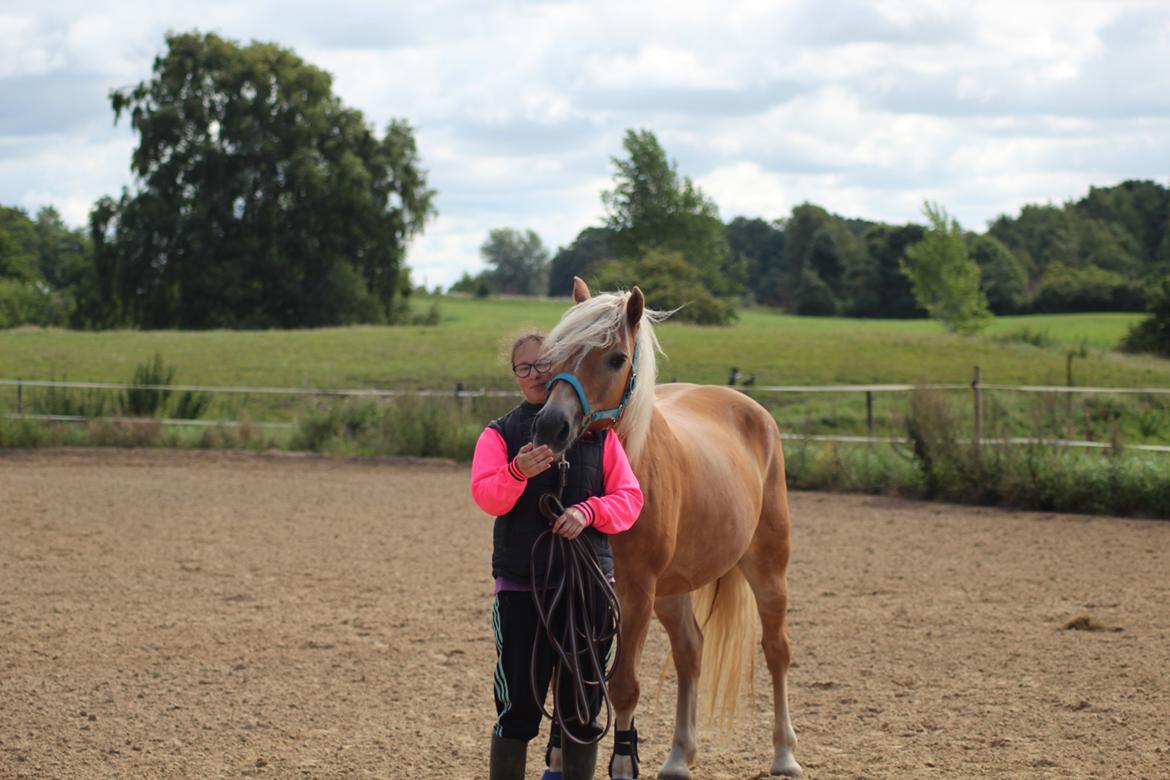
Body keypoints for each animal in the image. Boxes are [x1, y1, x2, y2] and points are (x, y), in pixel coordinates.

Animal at [535, 280, 800, 780]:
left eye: (616, 358)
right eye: (553, 353)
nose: (551, 426)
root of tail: (753, 410)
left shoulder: (637, 592)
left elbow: (623, 686)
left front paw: (622, 764)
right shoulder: (577, 587)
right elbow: (567, 677)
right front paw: (558, 759)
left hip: (768, 567)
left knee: (776, 648)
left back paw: (784, 754)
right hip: (674, 589)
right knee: (690, 651)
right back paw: (679, 756)